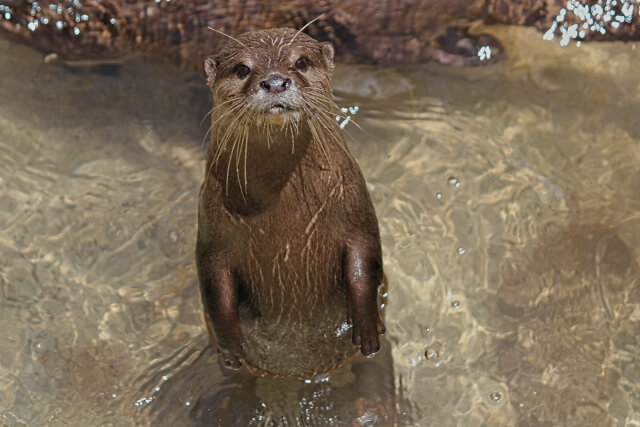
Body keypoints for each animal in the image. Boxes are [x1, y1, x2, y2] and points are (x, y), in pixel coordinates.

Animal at [195, 28, 384, 380]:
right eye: (242, 69)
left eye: (301, 62)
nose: (275, 82)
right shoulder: (211, 229)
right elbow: (215, 287)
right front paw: (231, 349)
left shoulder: (356, 208)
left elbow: (365, 262)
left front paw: (367, 329)